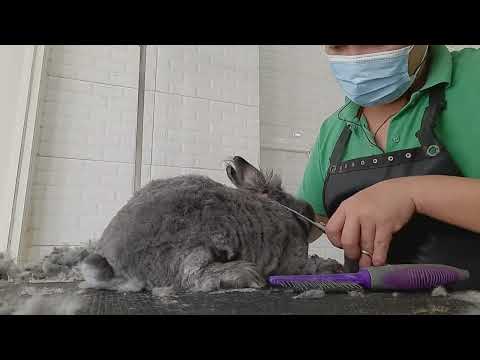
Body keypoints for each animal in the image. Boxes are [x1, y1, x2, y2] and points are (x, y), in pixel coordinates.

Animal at [80, 156, 342, 292]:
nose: (310, 210)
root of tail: (112, 259)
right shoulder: (293, 263)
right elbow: (309, 268)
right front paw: (331, 266)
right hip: (199, 247)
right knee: (192, 276)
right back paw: (245, 274)